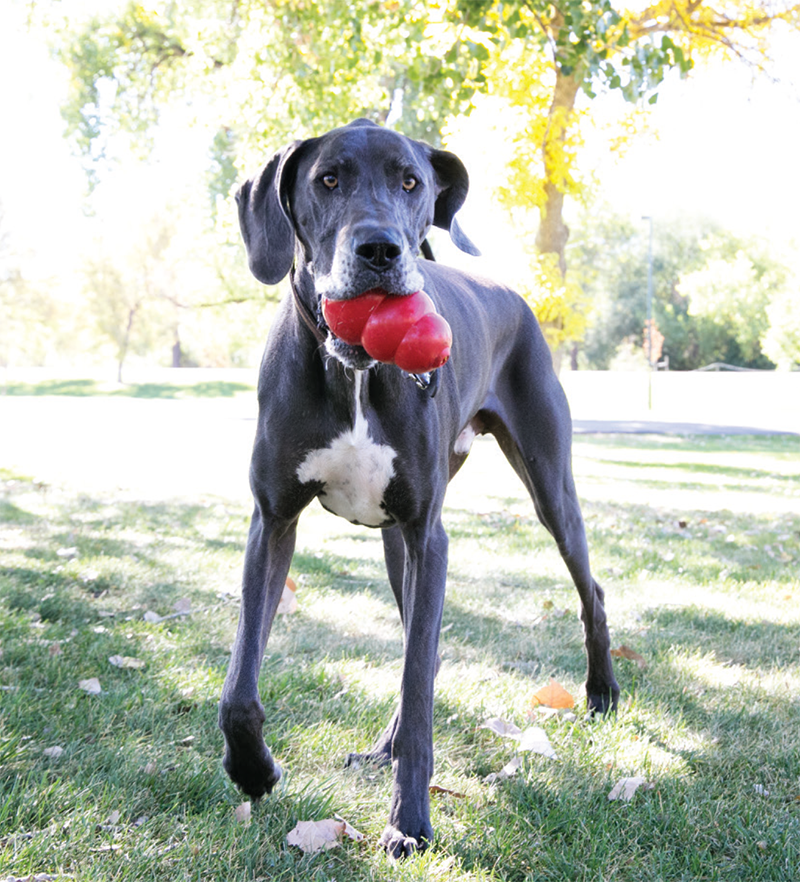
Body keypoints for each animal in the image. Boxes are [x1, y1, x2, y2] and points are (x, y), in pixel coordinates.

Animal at [219, 117, 620, 852]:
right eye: (328, 179)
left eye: (411, 182)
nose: (380, 249)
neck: (354, 371)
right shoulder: (274, 519)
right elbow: (240, 685)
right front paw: (253, 770)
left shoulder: (430, 535)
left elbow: (416, 682)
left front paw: (409, 821)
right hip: (393, 541)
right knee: (423, 655)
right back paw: (382, 746)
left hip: (546, 485)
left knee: (588, 590)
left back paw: (602, 691)